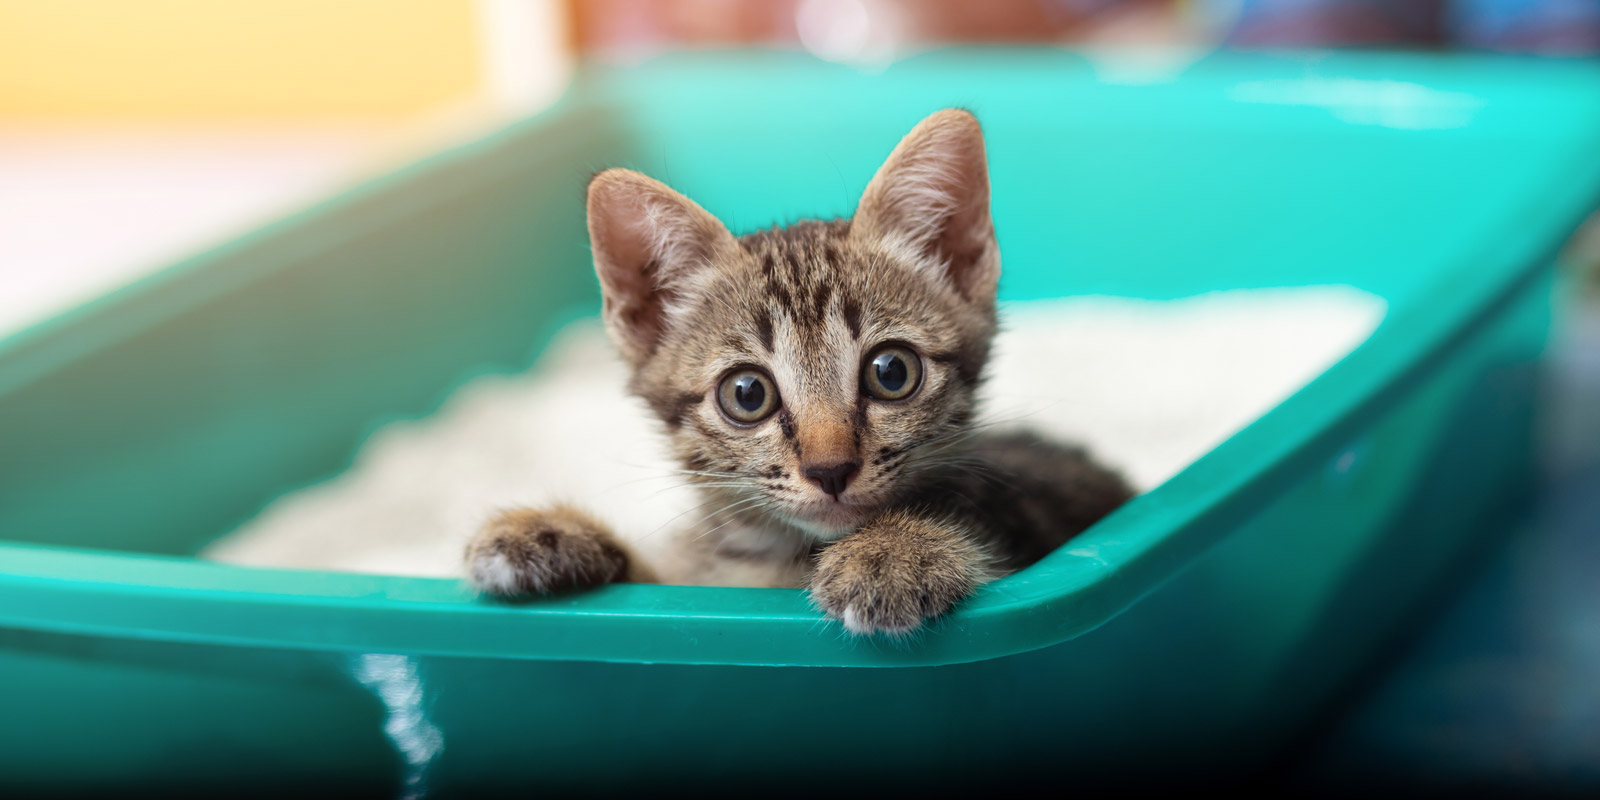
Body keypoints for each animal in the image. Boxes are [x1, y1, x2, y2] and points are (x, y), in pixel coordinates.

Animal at [467, 109, 1139, 633]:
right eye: (747, 394)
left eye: (892, 372)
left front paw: (897, 551)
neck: (787, 560)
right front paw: (551, 534)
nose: (830, 469)